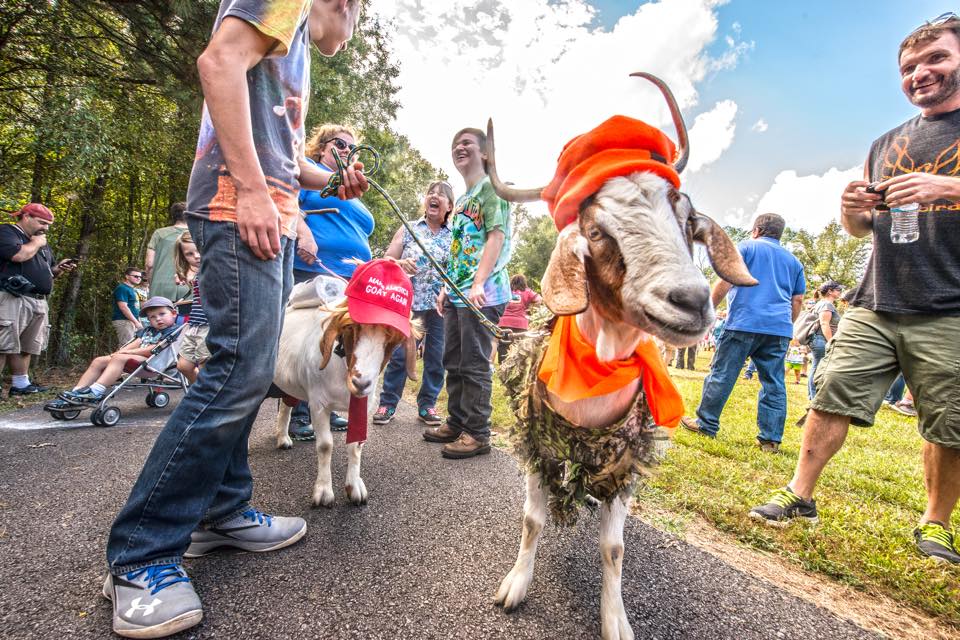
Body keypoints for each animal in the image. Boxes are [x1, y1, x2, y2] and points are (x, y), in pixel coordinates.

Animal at [272, 282, 406, 508]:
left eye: (390, 337)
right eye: (351, 328)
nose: (360, 383)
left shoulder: (364, 404)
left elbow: (356, 444)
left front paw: (354, 487)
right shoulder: (318, 403)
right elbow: (325, 445)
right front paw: (324, 492)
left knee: (286, 405)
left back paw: (283, 439)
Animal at [488, 72, 756, 636]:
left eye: (688, 220)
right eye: (595, 231)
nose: (693, 301)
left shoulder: (625, 467)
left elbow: (613, 548)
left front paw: (615, 620)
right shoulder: (536, 446)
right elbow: (532, 519)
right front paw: (516, 584)